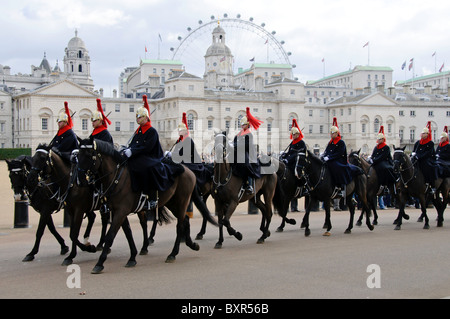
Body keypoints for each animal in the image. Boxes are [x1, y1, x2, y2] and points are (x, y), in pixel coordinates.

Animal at [76, 138, 217, 276]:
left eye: (89, 155)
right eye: (78, 155)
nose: (80, 179)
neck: (117, 177)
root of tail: (188, 170)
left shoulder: (121, 212)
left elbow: (111, 235)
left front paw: (99, 263)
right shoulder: (119, 212)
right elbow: (128, 233)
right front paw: (132, 257)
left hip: (182, 201)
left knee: (180, 225)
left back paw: (173, 253)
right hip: (172, 203)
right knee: (185, 221)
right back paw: (192, 244)